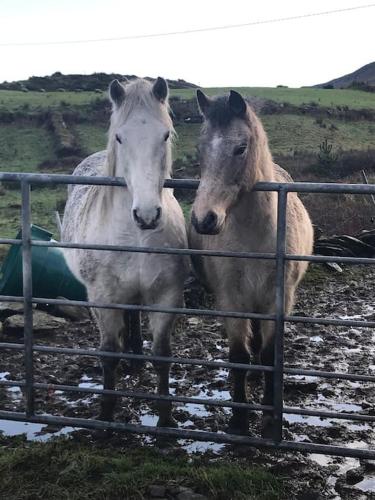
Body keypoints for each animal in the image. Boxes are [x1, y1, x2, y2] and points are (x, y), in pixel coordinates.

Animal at [63, 78, 191, 426]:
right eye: (120, 137)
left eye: (165, 135)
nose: (147, 215)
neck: (137, 236)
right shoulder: (103, 299)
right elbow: (108, 354)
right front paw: (106, 416)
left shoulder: (166, 296)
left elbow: (163, 356)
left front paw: (165, 418)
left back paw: (135, 359)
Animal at [191, 91, 314, 438]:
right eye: (200, 148)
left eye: (240, 148)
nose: (204, 220)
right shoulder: (231, 298)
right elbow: (238, 354)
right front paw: (239, 421)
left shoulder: (278, 298)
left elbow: (272, 353)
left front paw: (271, 421)